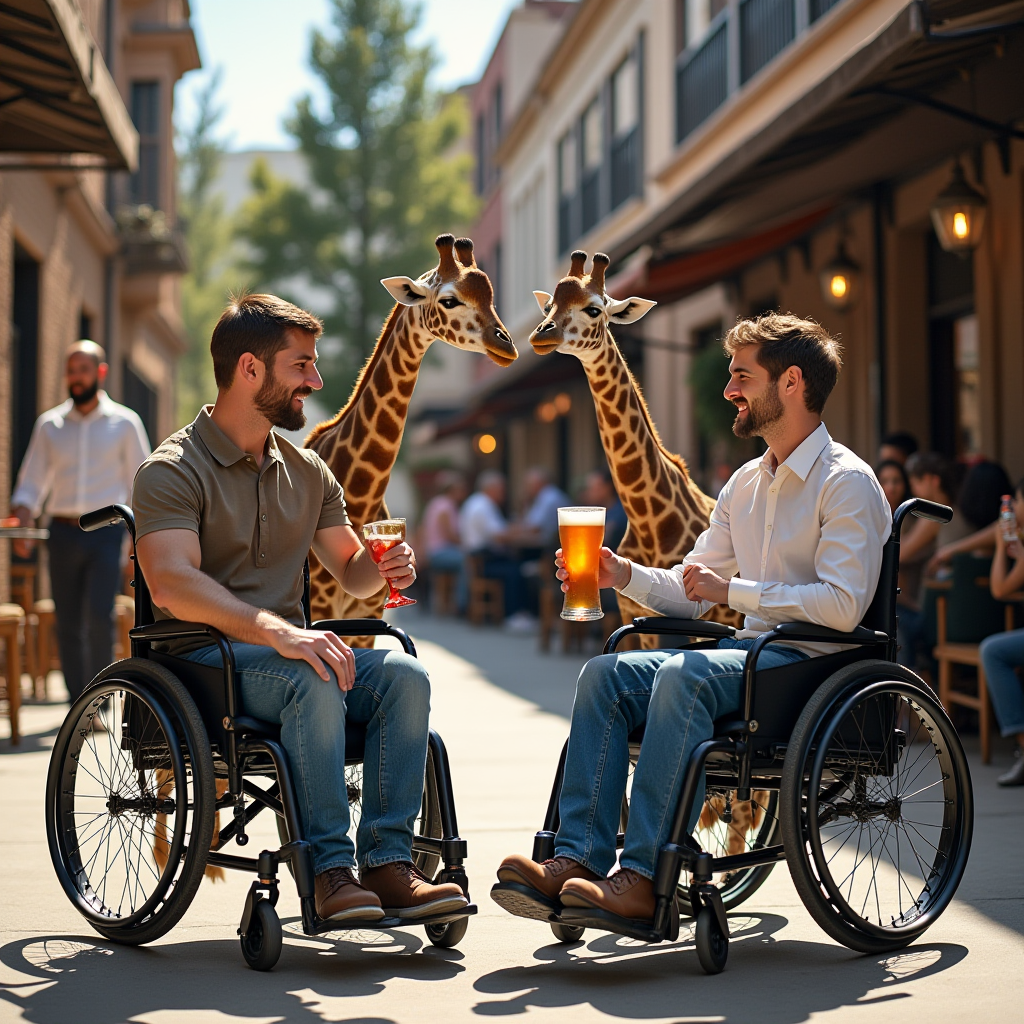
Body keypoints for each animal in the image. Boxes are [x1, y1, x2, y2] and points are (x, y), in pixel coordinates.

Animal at [301, 234, 516, 638]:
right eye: (449, 300)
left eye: (492, 297)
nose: (506, 345)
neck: (363, 498)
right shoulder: (321, 607)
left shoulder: (369, 613)